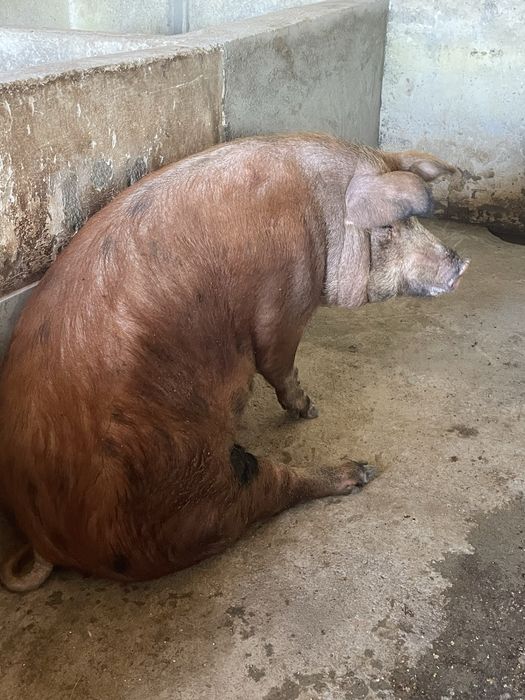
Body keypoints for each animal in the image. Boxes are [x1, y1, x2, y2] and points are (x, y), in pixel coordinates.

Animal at [0, 134, 468, 591]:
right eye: (390, 227)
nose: (460, 264)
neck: (324, 216)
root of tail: (50, 542)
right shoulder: (286, 304)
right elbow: (279, 363)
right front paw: (310, 410)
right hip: (191, 487)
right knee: (268, 490)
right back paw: (360, 470)